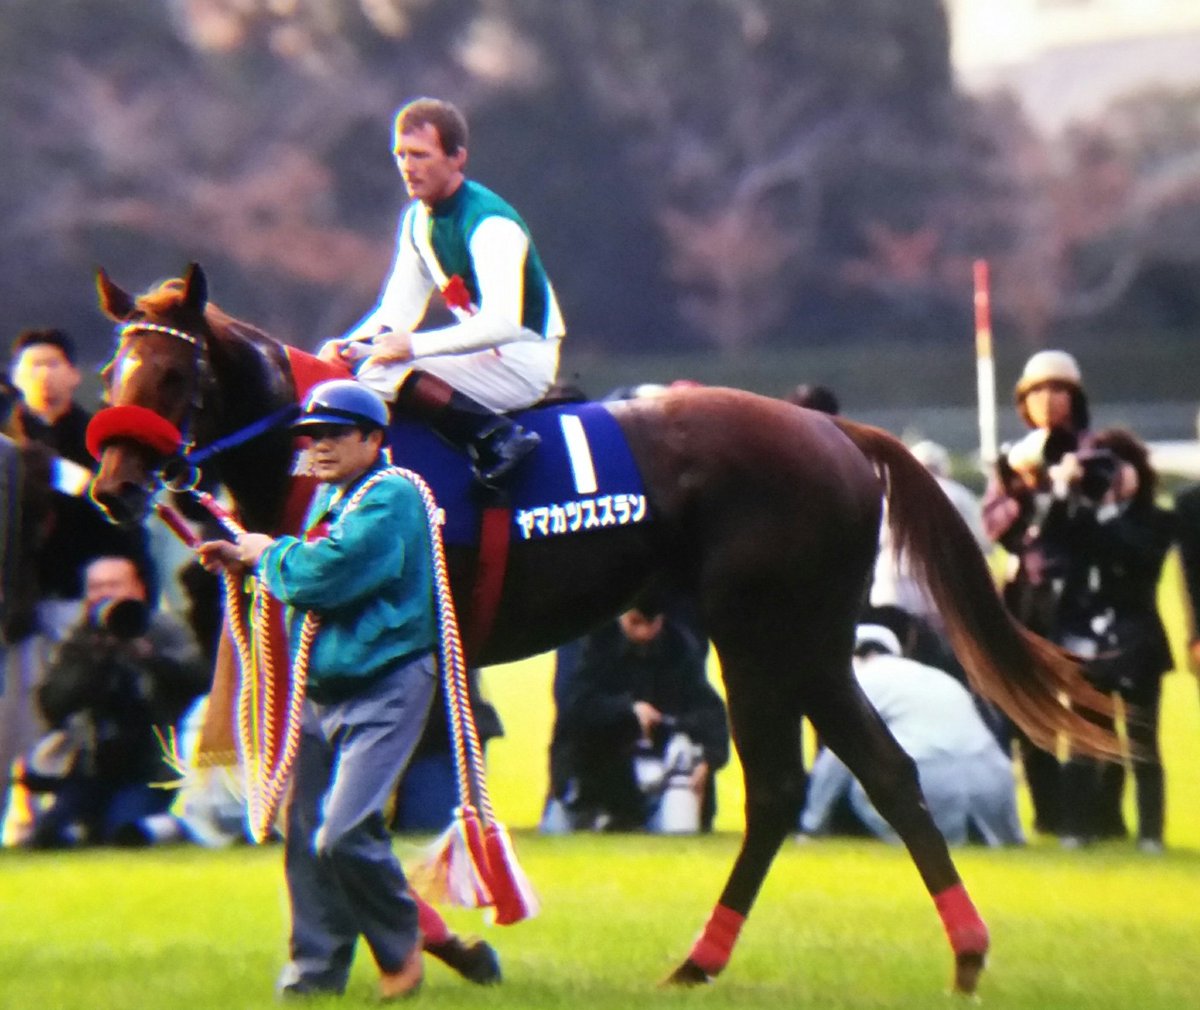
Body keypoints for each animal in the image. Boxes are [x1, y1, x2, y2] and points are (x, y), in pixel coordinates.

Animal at [87, 263, 1117, 995]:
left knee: (784, 785)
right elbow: (315, 820)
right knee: (885, 772)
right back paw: (960, 952)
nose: (112, 485)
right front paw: (418, 945)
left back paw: (708, 957)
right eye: (114, 369)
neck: (322, 453)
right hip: (813, 641)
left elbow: (350, 821)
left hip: (763, 633)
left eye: (173, 370)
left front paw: (448, 945)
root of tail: (840, 435)